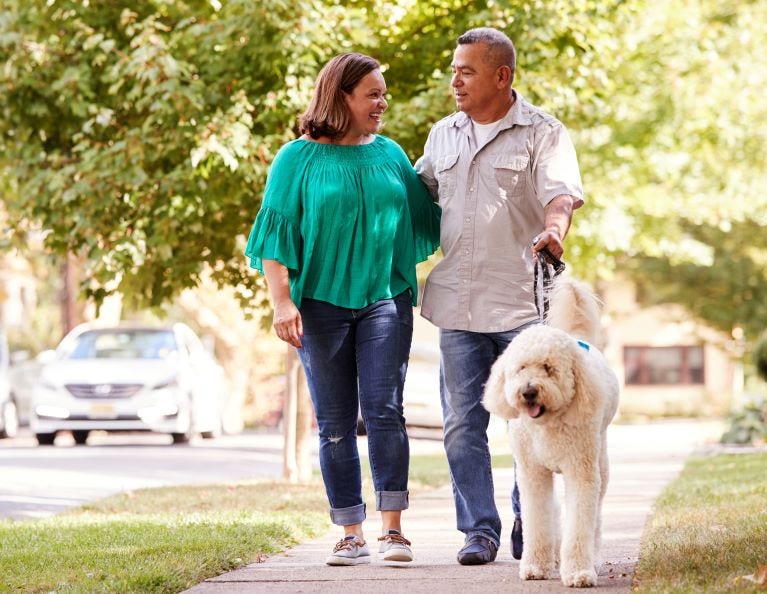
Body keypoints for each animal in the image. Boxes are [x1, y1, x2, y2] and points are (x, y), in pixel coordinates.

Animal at [486, 276, 616, 584]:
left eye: (548, 367)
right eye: (521, 368)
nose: (528, 391)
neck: (547, 424)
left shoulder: (580, 472)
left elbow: (579, 524)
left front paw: (579, 571)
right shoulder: (533, 474)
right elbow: (538, 519)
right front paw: (536, 566)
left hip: (600, 463)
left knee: (595, 516)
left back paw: (592, 556)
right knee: (555, 510)